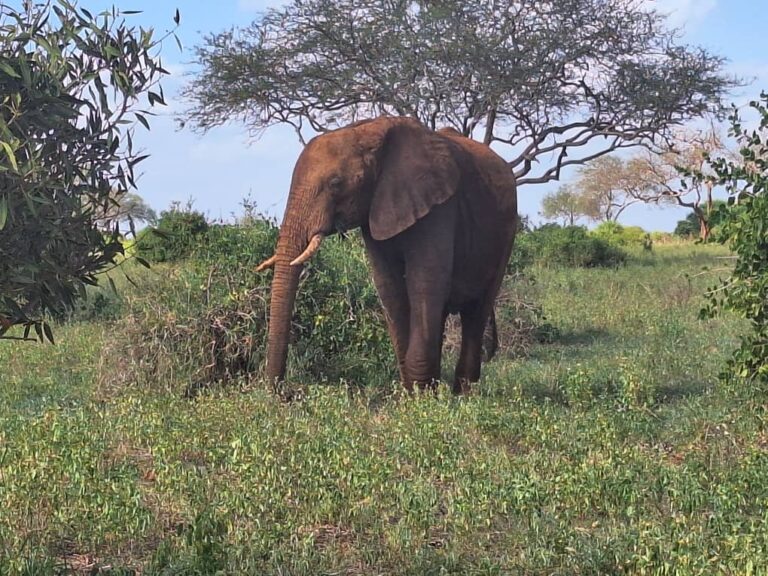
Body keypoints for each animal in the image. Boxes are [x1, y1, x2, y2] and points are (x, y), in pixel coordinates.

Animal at [257, 116, 518, 393]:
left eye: (335, 183)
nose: (281, 394)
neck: (369, 132)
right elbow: (389, 288)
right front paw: (414, 395)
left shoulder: (440, 207)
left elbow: (424, 283)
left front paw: (421, 398)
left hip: (505, 234)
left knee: (476, 312)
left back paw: (462, 396)